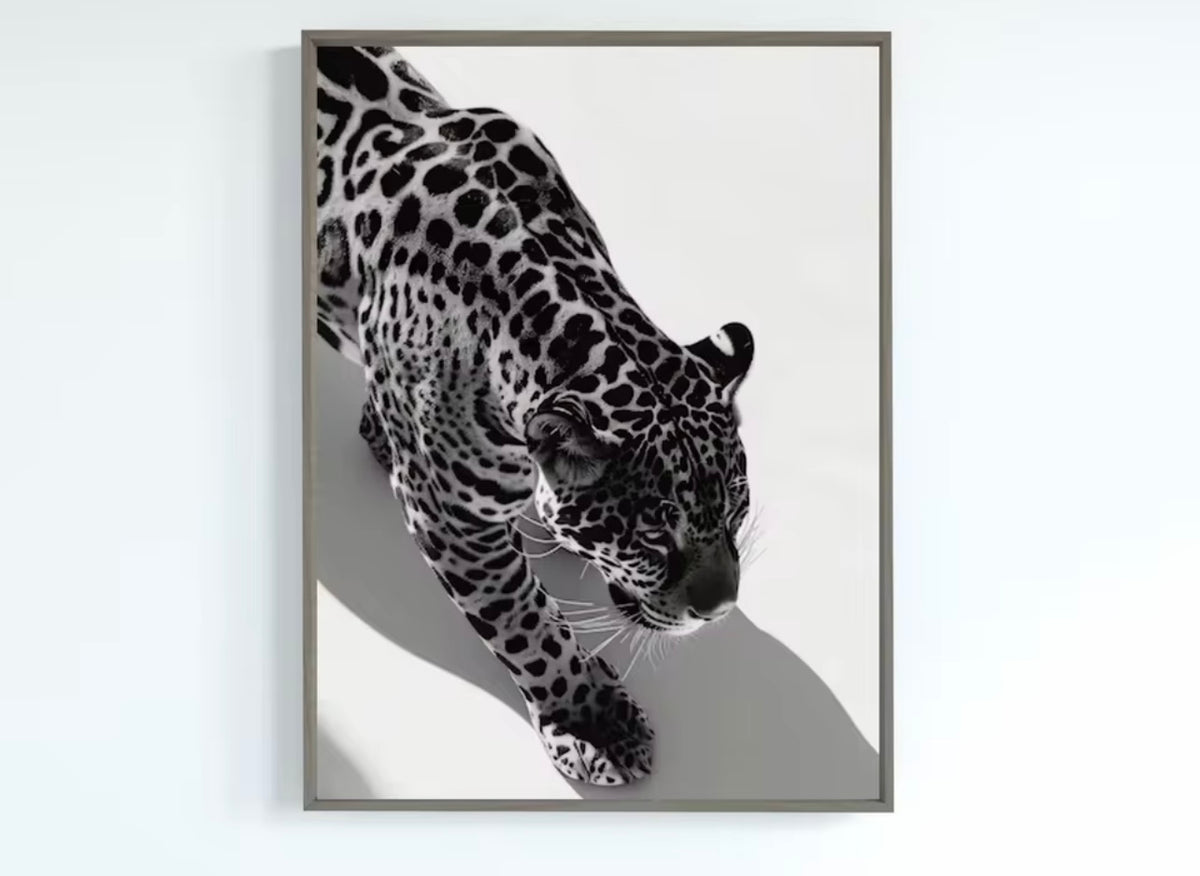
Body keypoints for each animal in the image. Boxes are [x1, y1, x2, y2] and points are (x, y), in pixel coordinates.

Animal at [315, 46, 756, 785]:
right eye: (652, 538)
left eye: (737, 512)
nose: (720, 609)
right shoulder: (450, 518)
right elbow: (526, 626)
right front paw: (594, 724)